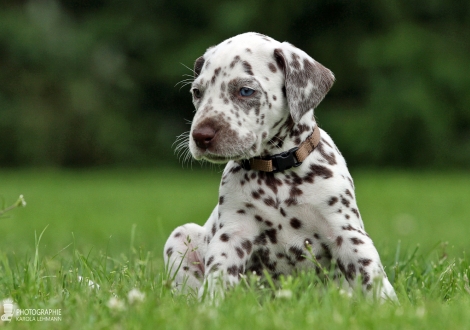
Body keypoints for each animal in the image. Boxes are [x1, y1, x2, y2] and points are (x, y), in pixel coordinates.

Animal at [163, 31, 398, 302]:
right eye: (197, 92)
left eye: (245, 91)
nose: (200, 136)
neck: (275, 172)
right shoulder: (232, 234)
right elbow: (218, 276)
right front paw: (211, 305)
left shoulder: (346, 232)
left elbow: (371, 275)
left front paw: (388, 304)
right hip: (181, 235)